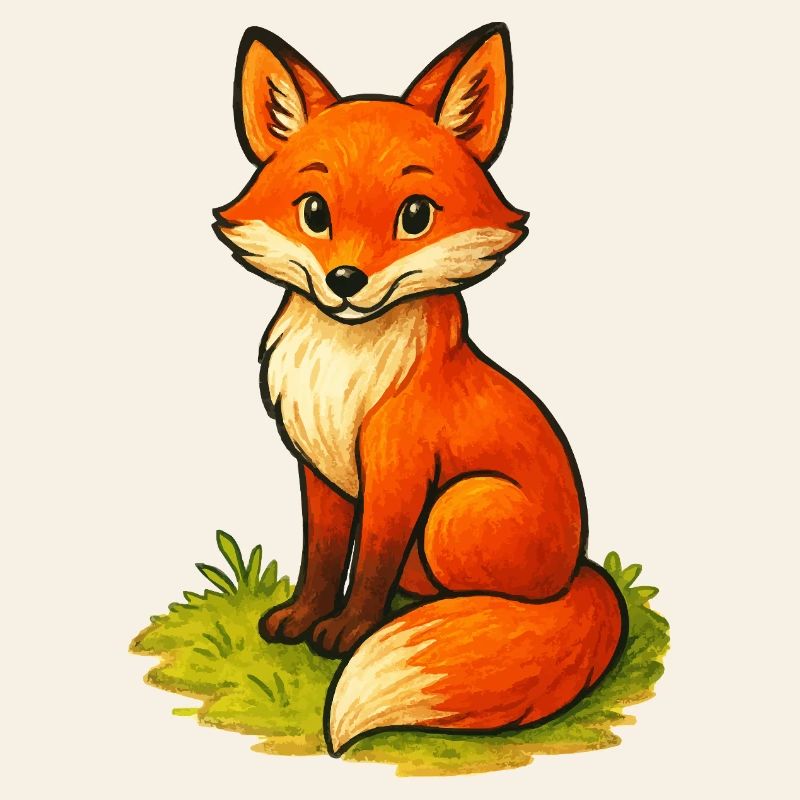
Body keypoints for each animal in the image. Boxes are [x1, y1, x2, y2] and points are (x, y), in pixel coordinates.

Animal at [213, 23, 627, 757]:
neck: (344, 369)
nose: (346, 281)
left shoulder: (398, 468)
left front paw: (348, 634)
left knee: (487, 597)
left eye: (414, 216)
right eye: (314, 212)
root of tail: (580, 568)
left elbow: (371, 562)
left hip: (457, 510)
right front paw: (303, 618)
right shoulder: (318, 467)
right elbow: (324, 556)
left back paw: (451, 614)